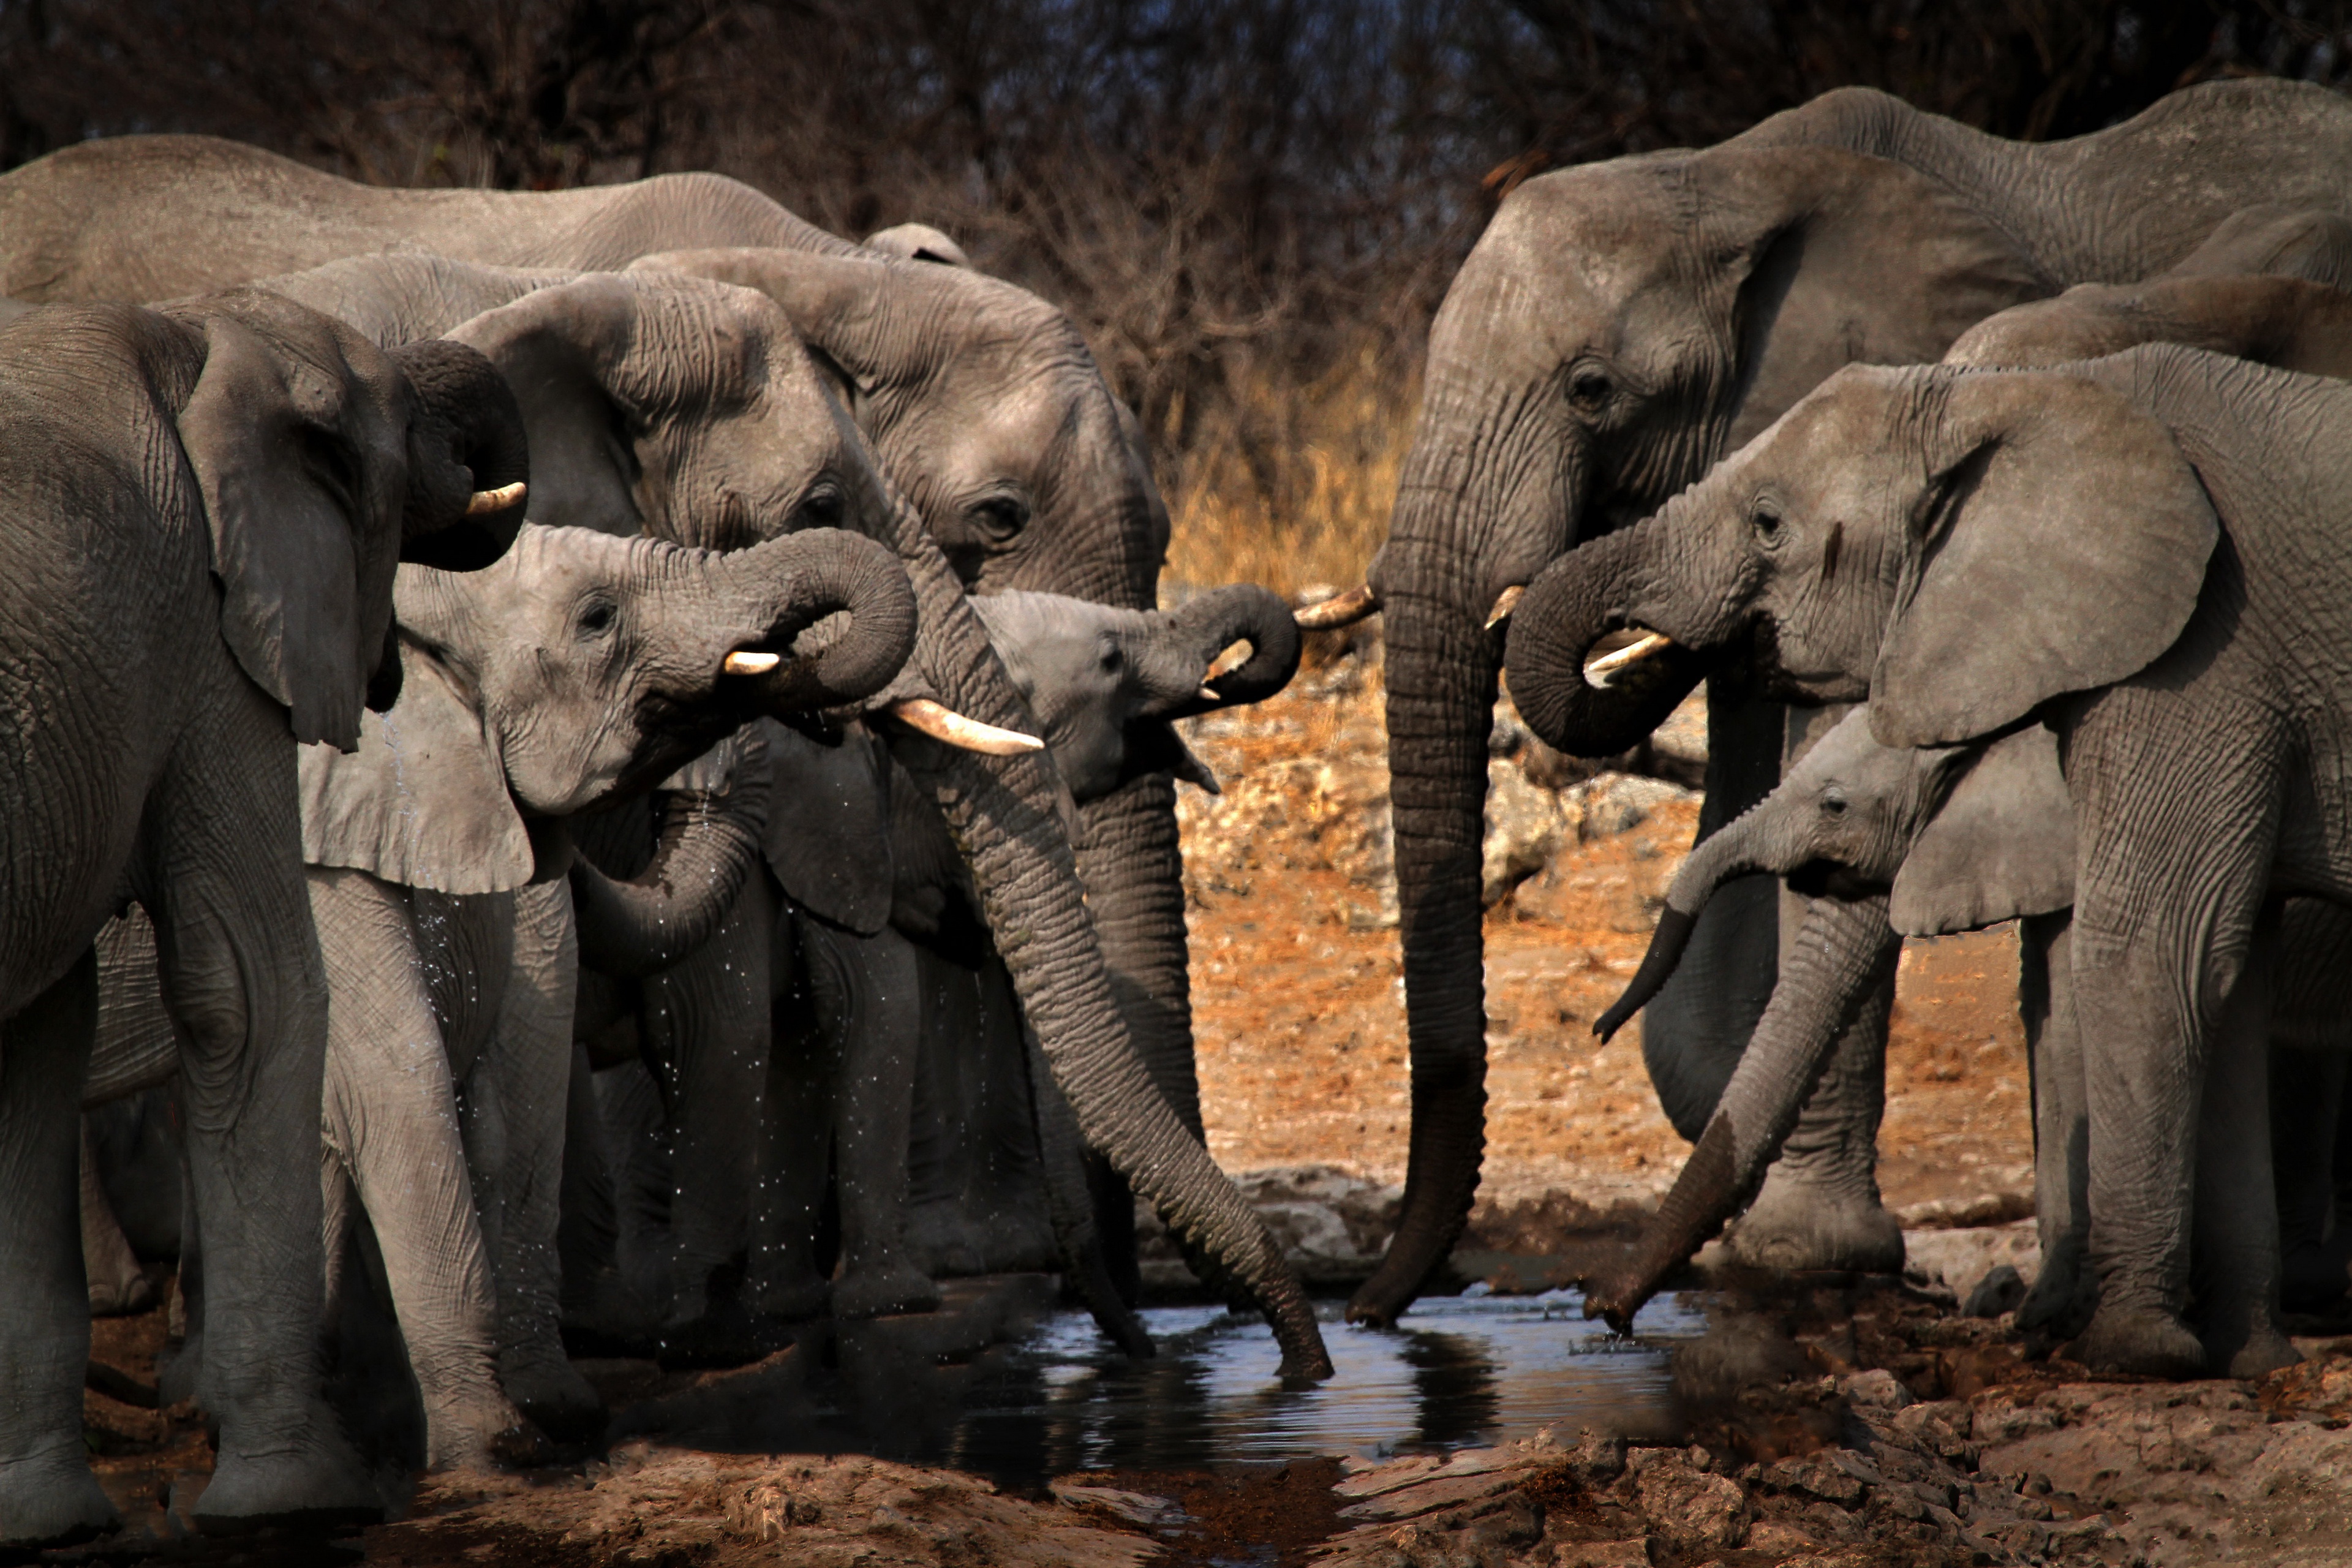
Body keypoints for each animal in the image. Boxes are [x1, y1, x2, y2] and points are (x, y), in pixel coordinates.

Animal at [0, 291, 524, 1542]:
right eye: (387, 450)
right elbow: (251, 985)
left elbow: (43, 1035)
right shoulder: (207, 635)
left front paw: (48, 1522)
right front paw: (297, 1502)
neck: (194, 336)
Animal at [1505, 343, 2352, 1373]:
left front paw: (2129, 1356)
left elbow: (2151, 953)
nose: (1604, 1312)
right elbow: (2213, 983)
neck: (2013, 395)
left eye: (1769, 525)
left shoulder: (2204, 658)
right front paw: (2242, 1360)